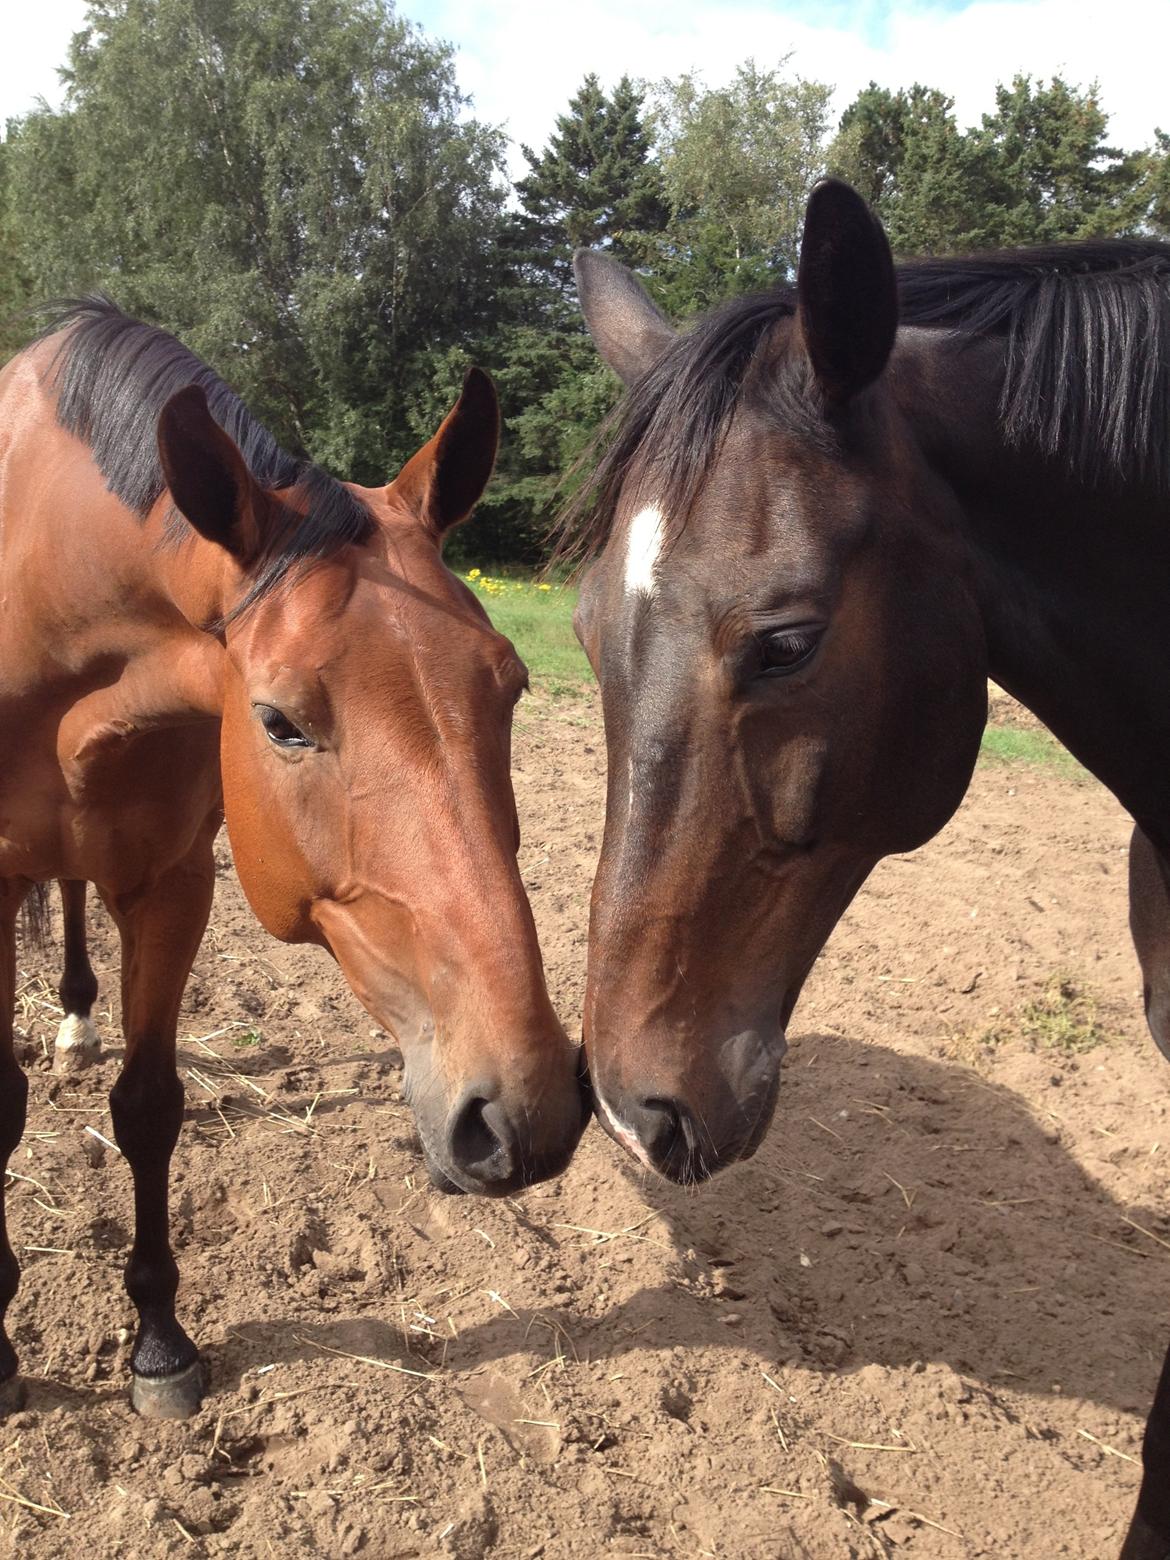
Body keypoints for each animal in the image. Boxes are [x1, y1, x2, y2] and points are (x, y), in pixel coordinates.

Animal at [0, 297, 586, 1422]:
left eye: (512, 686)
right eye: (278, 721)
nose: (525, 1112)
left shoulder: (173, 882)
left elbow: (149, 1108)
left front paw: (159, 1341)